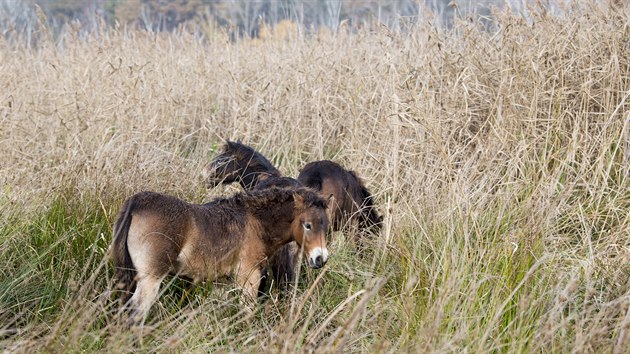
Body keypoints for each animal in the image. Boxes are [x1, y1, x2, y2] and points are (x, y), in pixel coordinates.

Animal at [111, 188, 334, 324]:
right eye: (307, 225)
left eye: (326, 225)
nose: (320, 259)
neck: (256, 223)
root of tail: (136, 203)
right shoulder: (248, 277)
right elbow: (247, 312)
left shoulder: (220, 282)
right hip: (151, 279)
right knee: (135, 313)